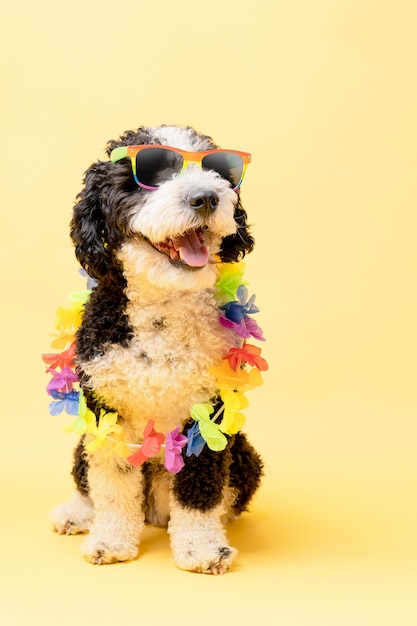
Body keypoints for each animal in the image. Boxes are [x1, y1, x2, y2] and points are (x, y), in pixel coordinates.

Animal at [48, 124, 264, 572]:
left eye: (220, 173)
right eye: (151, 174)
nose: (205, 197)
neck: (162, 310)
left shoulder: (206, 417)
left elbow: (200, 490)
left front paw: (201, 547)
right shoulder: (105, 411)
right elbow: (111, 485)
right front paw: (110, 540)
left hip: (245, 456)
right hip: (83, 442)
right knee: (85, 479)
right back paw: (76, 513)